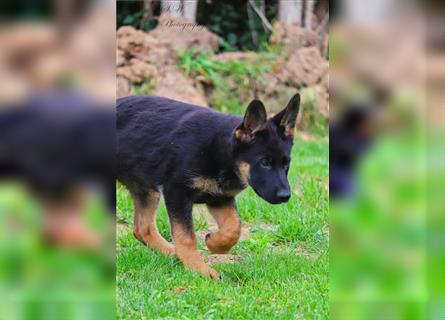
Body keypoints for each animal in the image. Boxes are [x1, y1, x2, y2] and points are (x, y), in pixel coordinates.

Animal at [116, 94, 300, 278]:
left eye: (286, 163)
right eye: (264, 163)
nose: (285, 196)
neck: (221, 152)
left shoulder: (220, 198)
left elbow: (234, 226)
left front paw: (215, 244)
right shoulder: (177, 192)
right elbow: (186, 236)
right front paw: (198, 269)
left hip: (146, 188)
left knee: (142, 229)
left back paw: (173, 254)